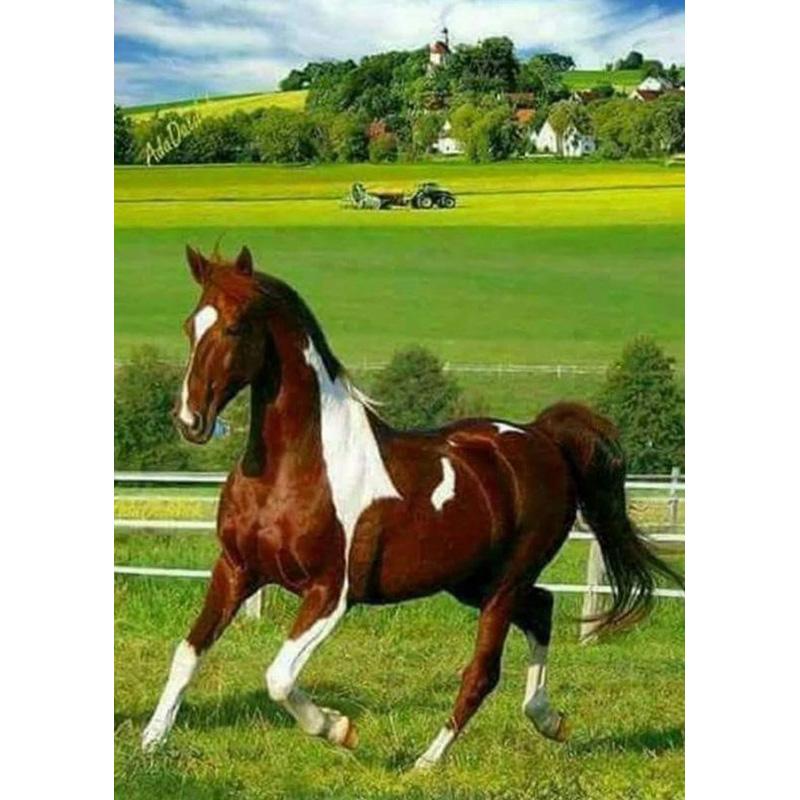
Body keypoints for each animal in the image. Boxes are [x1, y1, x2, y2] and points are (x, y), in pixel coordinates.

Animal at [141, 245, 683, 768]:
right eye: (191, 325)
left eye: (234, 326)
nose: (189, 420)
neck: (296, 467)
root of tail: (542, 438)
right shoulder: (236, 569)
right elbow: (187, 653)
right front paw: (150, 744)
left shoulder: (330, 592)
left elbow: (278, 677)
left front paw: (340, 729)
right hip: (471, 580)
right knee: (543, 608)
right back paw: (550, 721)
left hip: (504, 584)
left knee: (483, 670)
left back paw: (427, 761)